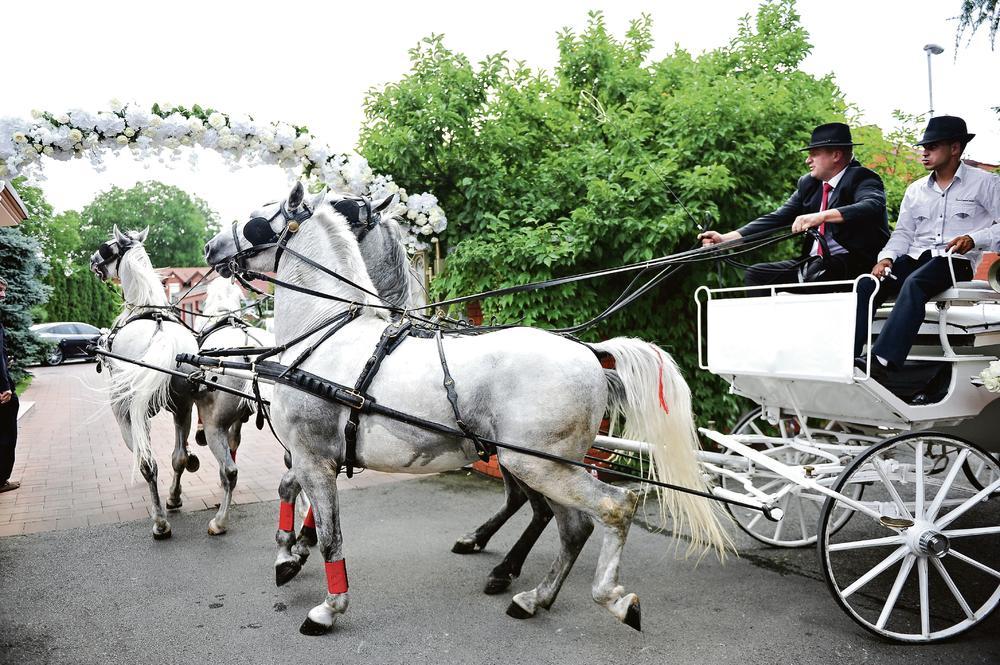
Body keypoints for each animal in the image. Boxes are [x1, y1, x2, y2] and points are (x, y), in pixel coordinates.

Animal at [207, 185, 732, 632]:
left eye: (260, 216)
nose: (212, 248)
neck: (324, 333)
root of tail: (589, 352)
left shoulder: (314, 457)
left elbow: (332, 535)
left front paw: (328, 608)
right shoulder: (314, 456)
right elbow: (290, 494)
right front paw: (287, 556)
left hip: (537, 463)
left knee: (612, 508)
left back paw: (610, 597)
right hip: (548, 465)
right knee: (573, 526)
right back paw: (533, 597)